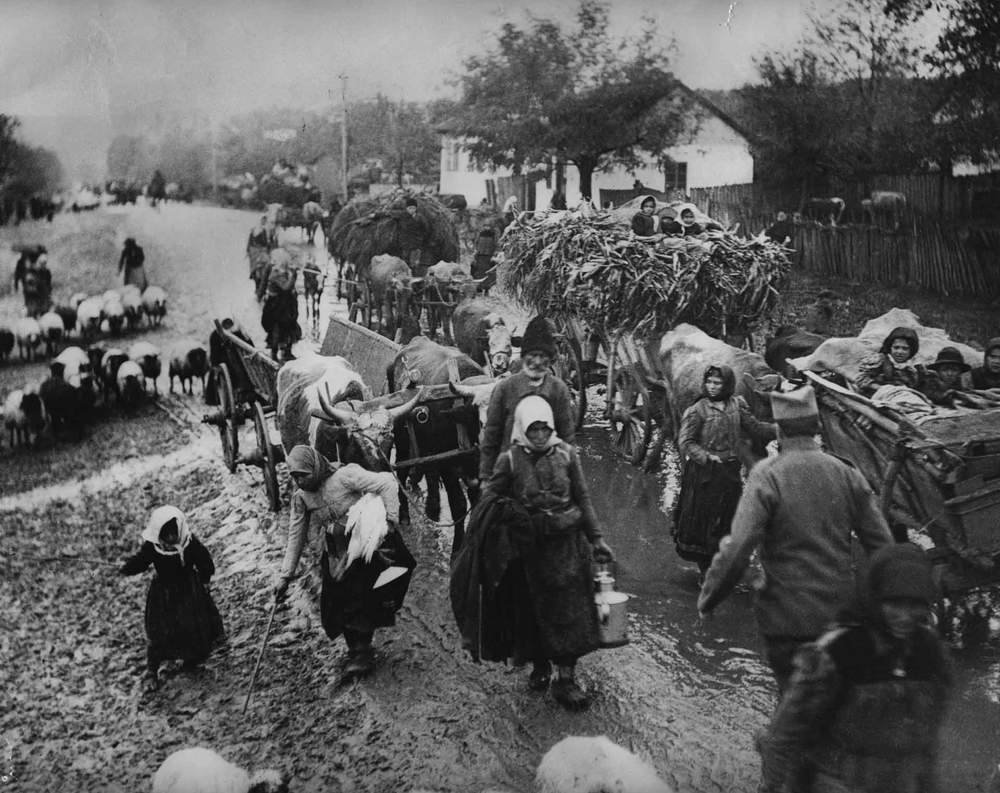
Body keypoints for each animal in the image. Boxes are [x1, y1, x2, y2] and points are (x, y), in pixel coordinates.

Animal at [386, 334, 484, 552]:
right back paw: (405, 515)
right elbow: (459, 505)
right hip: (402, 439)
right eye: (479, 415)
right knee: (403, 470)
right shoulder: (448, 467)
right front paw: (457, 548)